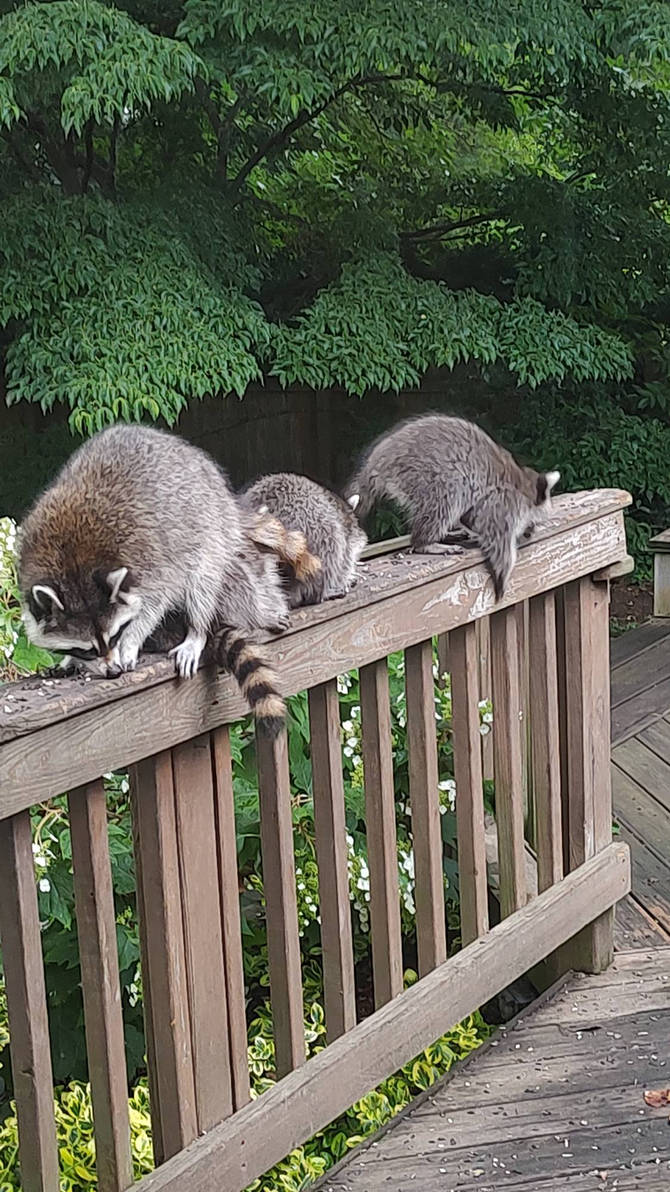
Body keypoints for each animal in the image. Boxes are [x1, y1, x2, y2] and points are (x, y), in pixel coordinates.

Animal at [18, 425, 287, 735]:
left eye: (115, 635)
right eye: (86, 648)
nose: (112, 672)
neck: (73, 561)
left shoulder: (149, 555)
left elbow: (155, 601)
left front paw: (132, 639)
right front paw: (71, 658)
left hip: (211, 523)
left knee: (203, 577)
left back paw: (197, 629)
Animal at [346, 414, 559, 600]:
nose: (530, 531)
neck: (525, 486)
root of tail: (378, 460)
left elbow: (471, 517)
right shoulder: (503, 504)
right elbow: (499, 541)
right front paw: (503, 574)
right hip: (429, 475)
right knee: (444, 502)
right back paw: (425, 542)